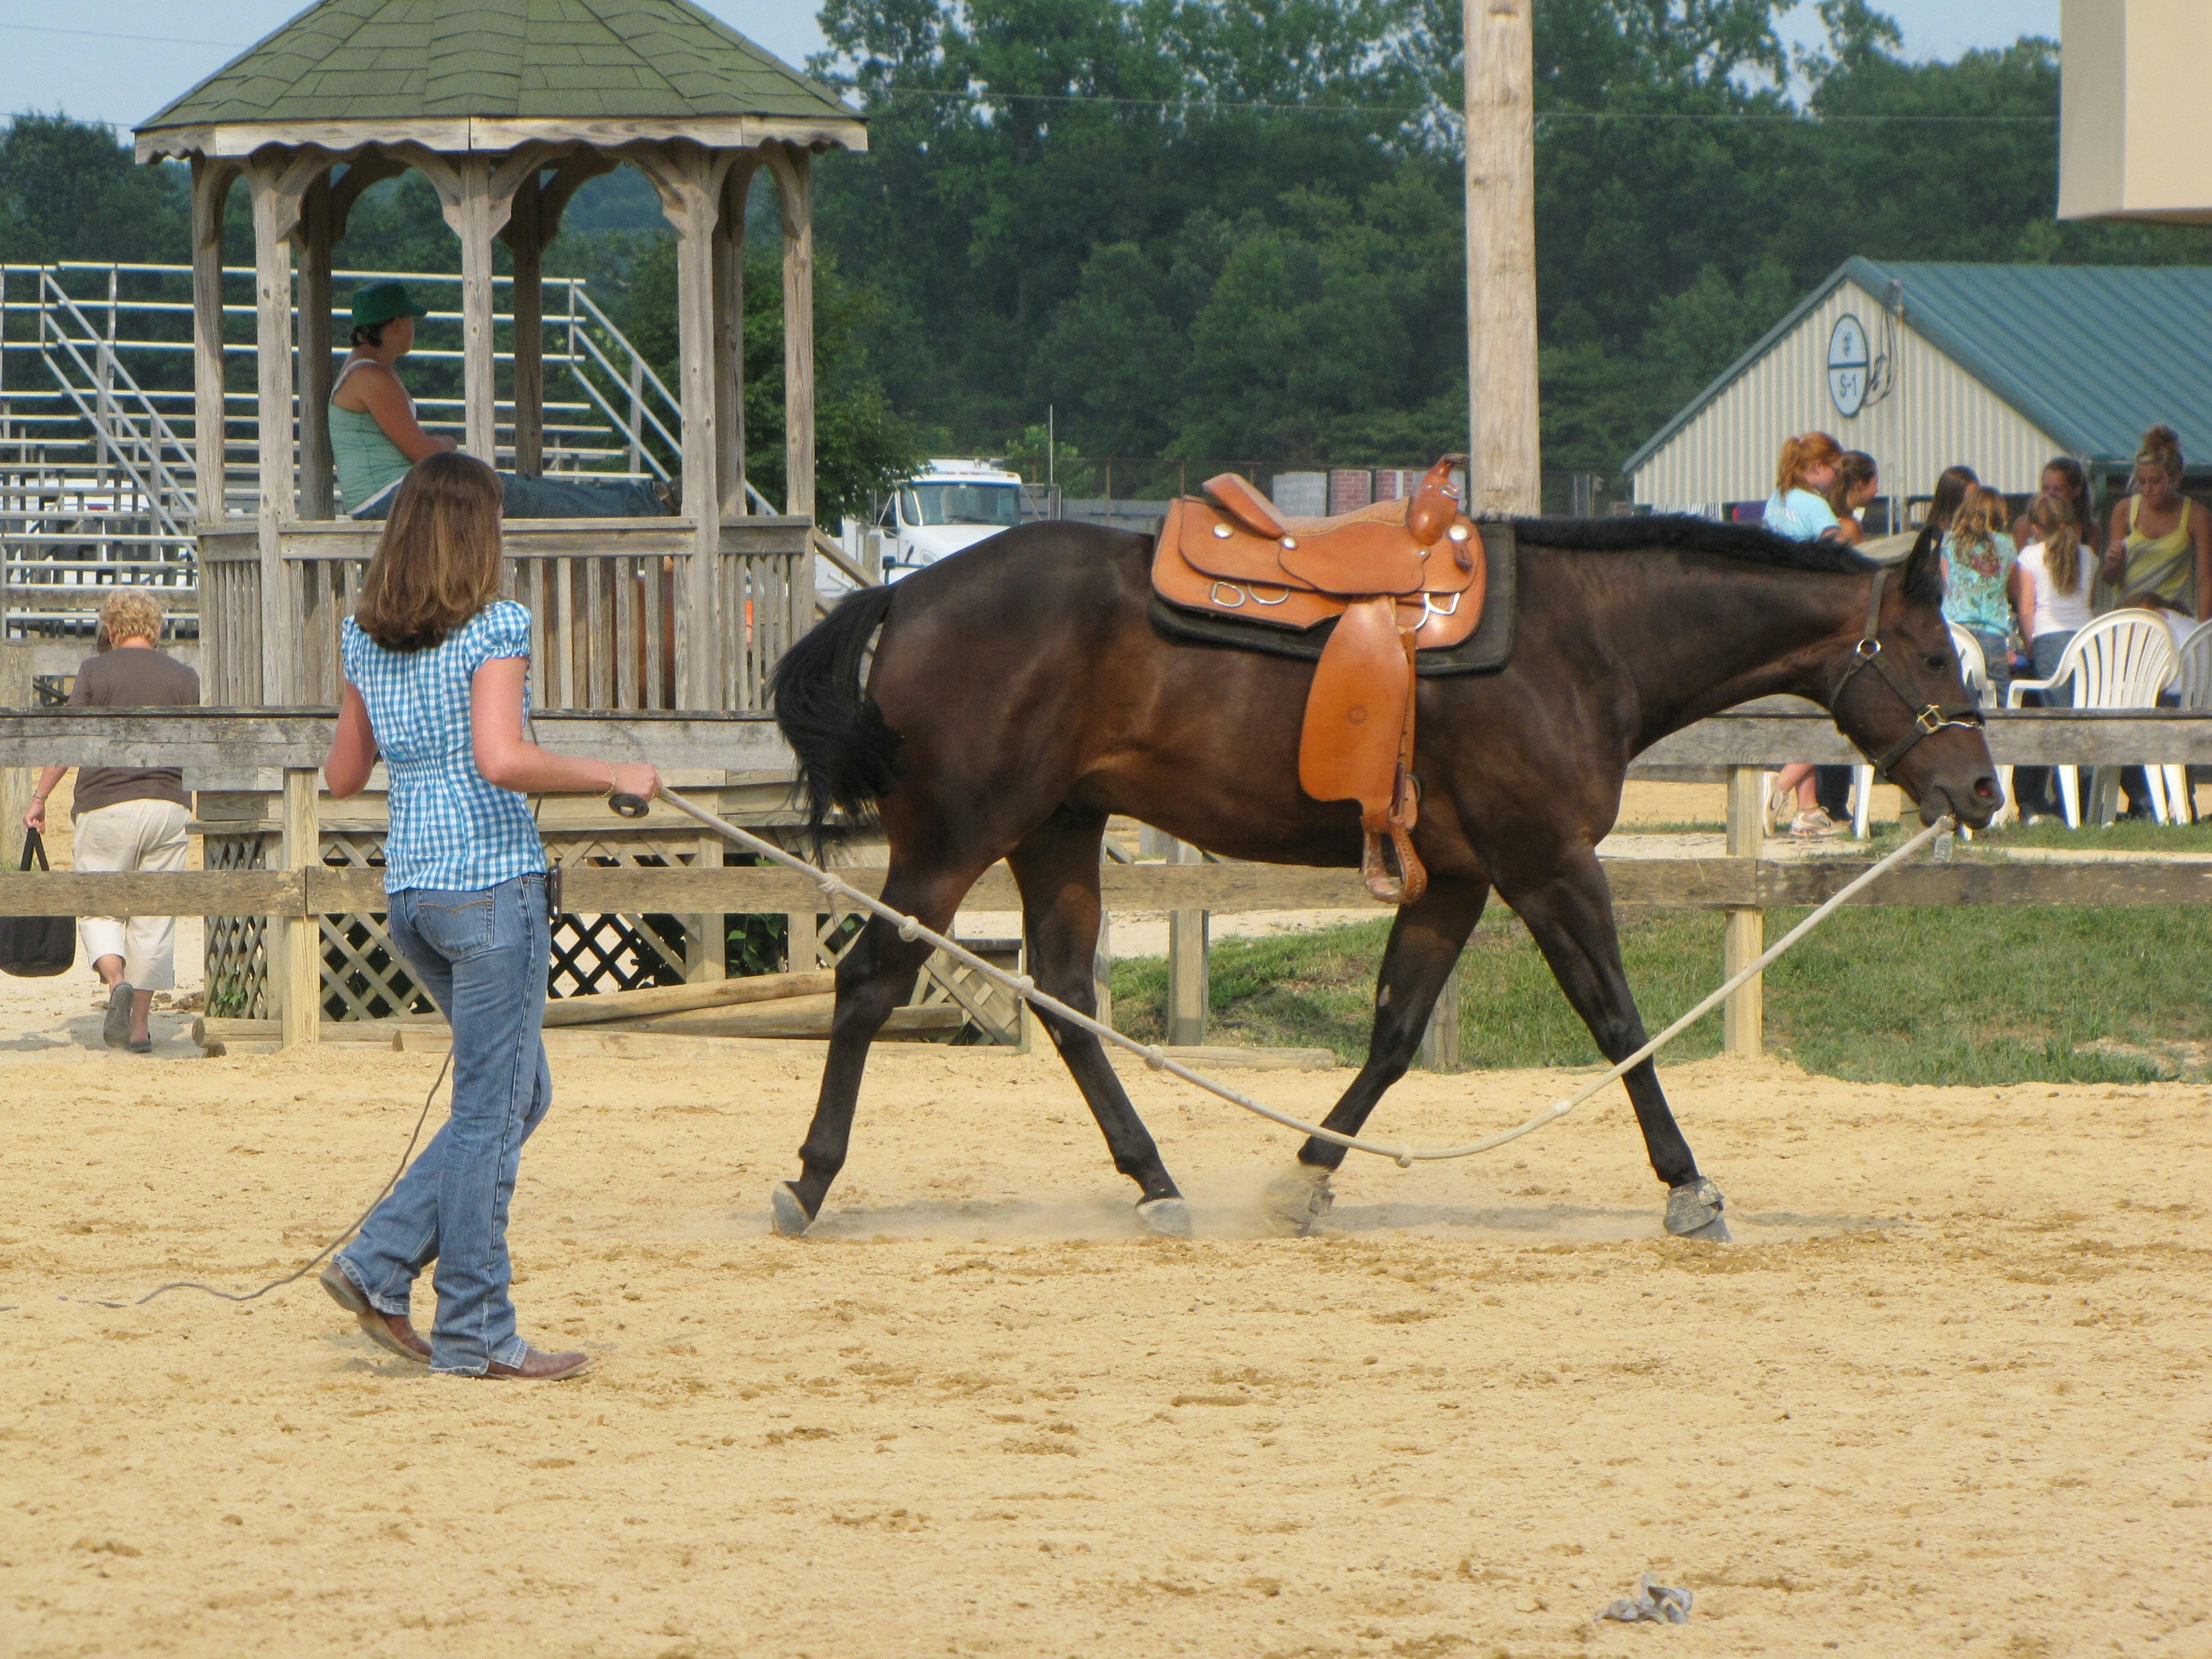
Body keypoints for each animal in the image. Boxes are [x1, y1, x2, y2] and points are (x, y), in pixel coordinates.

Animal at [766, 514, 1998, 1242]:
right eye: (1935, 654)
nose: (1983, 790)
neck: (1579, 641)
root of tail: (907, 596)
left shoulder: (1452, 879)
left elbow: (1397, 1035)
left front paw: (1305, 1176)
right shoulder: (1547, 864)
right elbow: (1616, 1020)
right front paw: (1686, 1184)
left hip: (1057, 833)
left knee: (1065, 1000)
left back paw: (1154, 1178)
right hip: (952, 841)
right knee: (869, 985)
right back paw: (810, 1179)